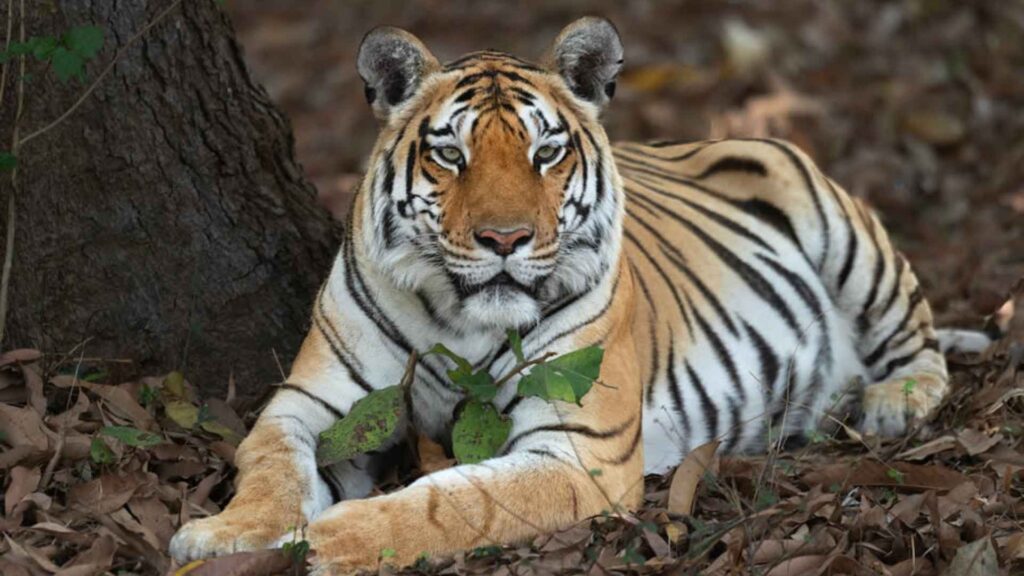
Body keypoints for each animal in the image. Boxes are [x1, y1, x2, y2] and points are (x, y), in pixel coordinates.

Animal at [170, 17, 998, 573]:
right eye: (450, 155)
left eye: (546, 152)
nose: (505, 239)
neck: (459, 320)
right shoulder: (305, 402)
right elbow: (271, 465)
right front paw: (223, 534)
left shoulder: (578, 451)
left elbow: (453, 501)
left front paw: (332, 538)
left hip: (835, 222)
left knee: (919, 334)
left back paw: (893, 400)